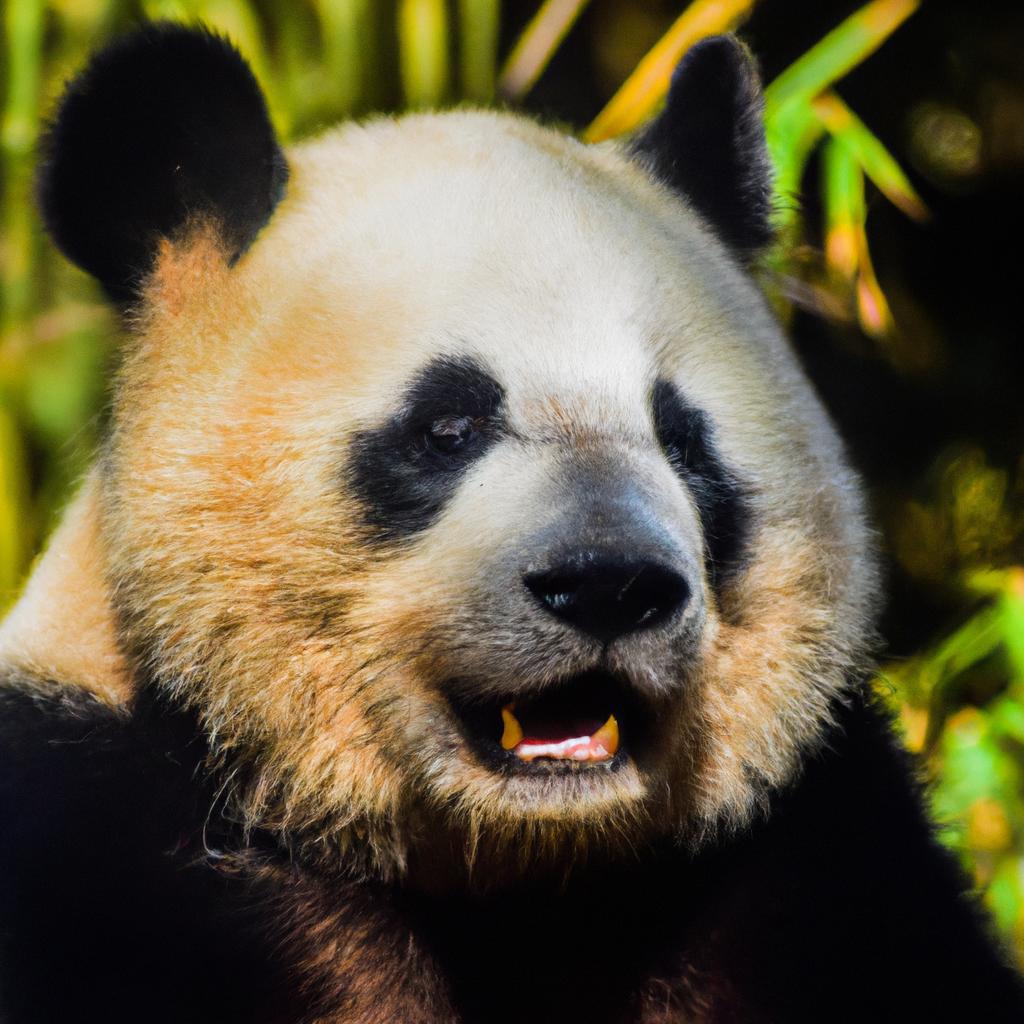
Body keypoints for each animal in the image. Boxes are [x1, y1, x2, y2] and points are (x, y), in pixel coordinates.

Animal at [2, 22, 1024, 1024]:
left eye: (680, 438)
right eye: (448, 426)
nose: (610, 585)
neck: (526, 875)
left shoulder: (818, 861)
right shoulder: (101, 834)